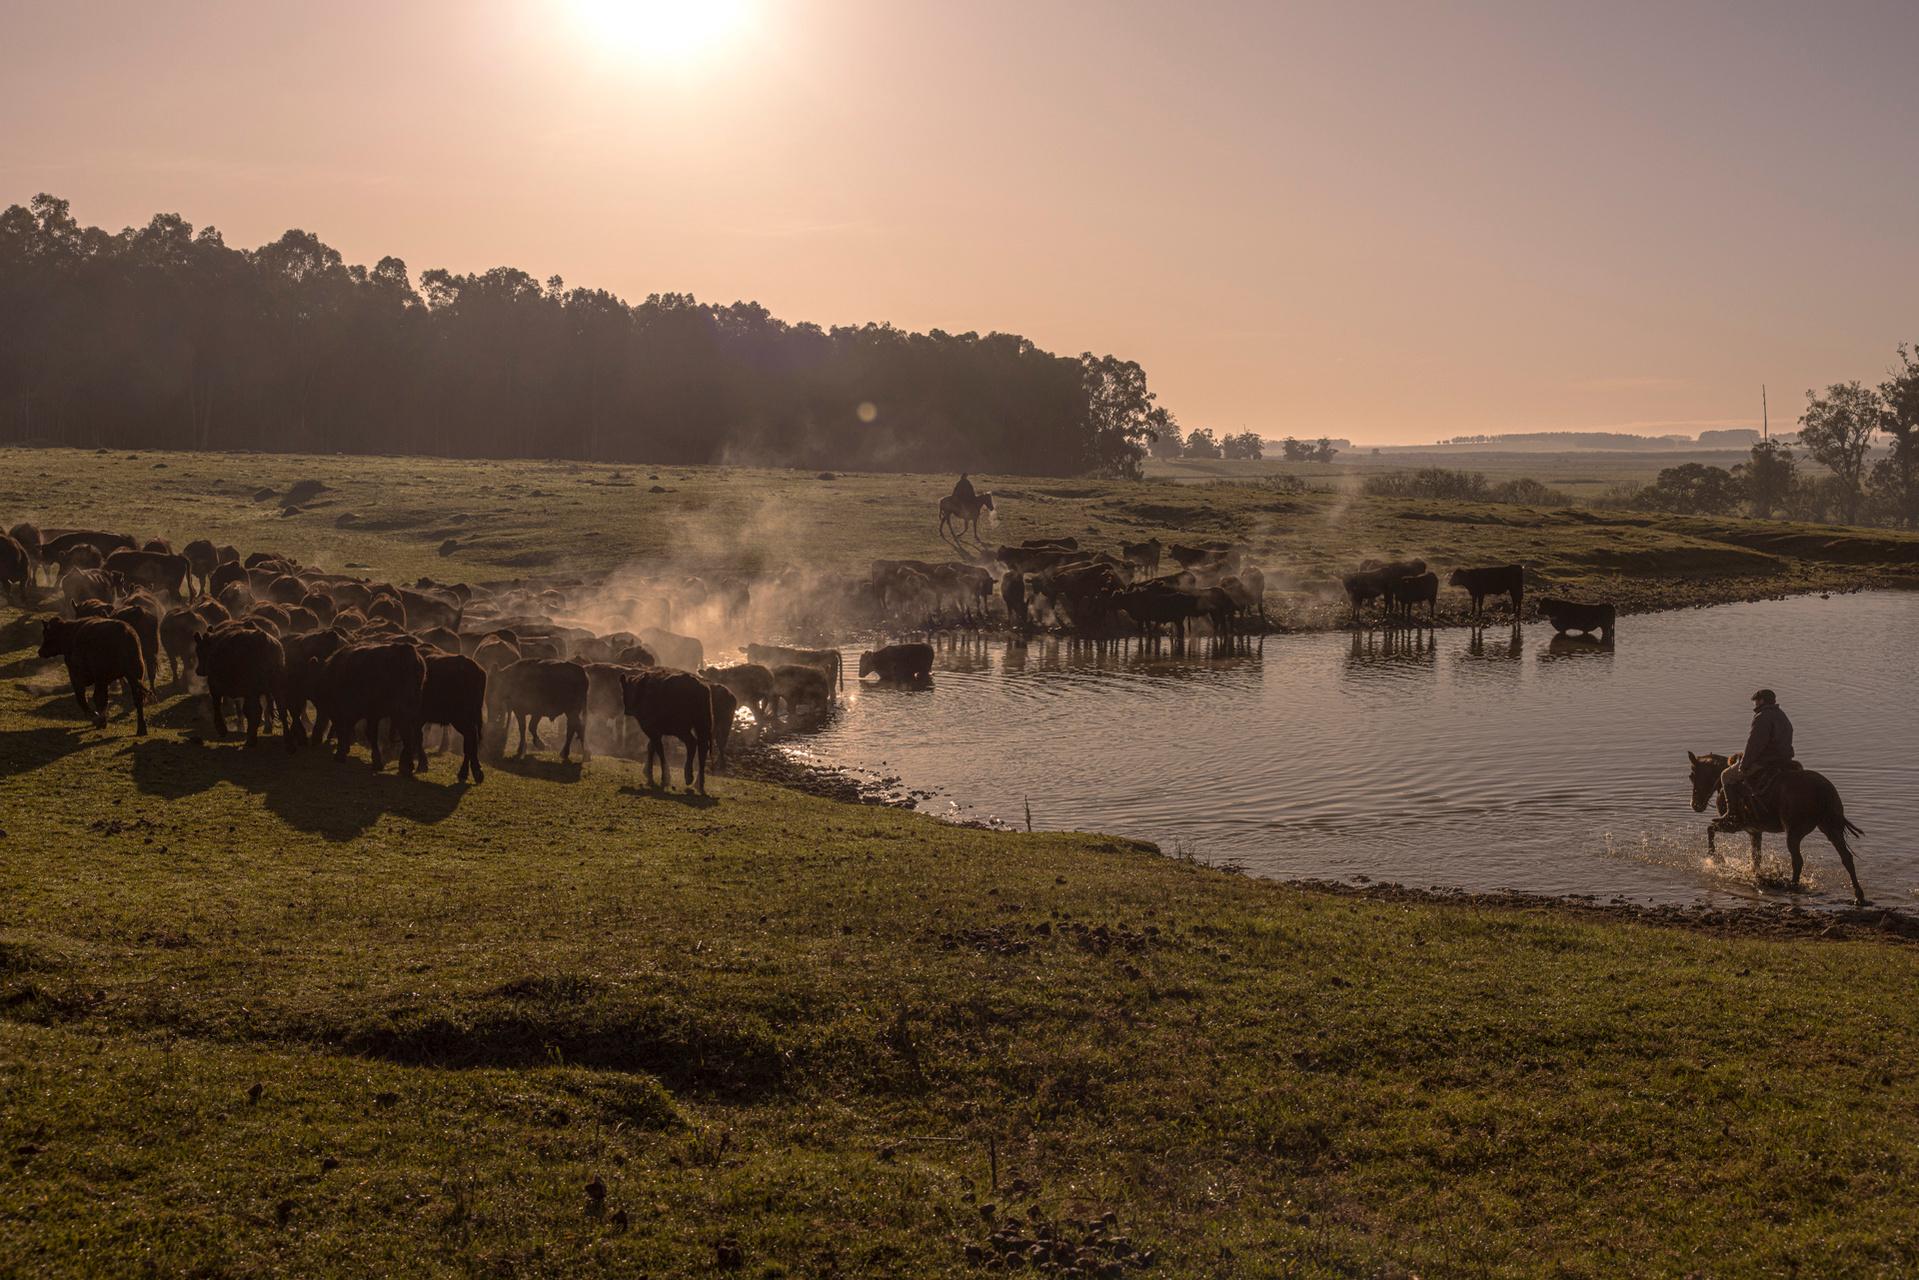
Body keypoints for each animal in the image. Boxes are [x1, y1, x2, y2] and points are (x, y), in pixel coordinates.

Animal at [1688, 752, 1865, 909]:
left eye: (1692, 775)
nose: (1695, 805)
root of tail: (1821, 789)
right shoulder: (1755, 831)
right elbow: (1756, 858)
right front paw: (1756, 876)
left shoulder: (1733, 825)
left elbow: (1710, 829)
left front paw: (1714, 856)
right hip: (1831, 829)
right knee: (1846, 858)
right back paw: (1858, 896)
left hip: (1794, 834)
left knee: (1798, 861)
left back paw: (1792, 887)